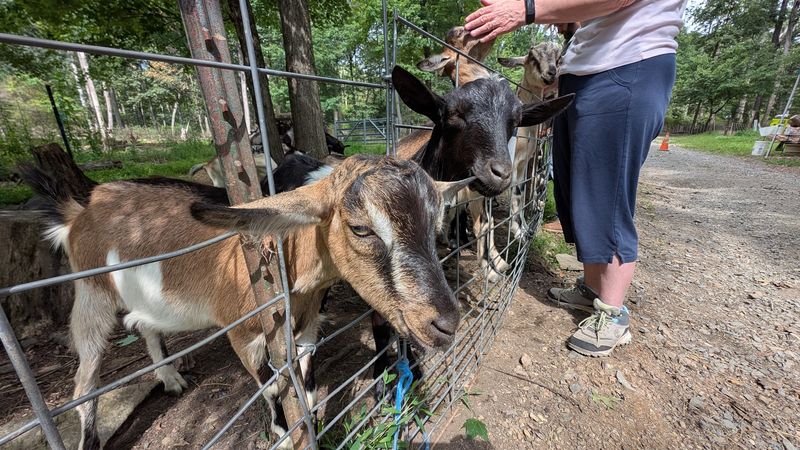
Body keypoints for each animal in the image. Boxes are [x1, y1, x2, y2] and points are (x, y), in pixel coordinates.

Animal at [22, 154, 471, 450]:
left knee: (146, 325)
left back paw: (171, 379)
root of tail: (78, 214)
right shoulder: (243, 332)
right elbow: (270, 385)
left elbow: (303, 371)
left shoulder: (308, 322)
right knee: (85, 375)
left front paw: (309, 410)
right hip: (92, 290)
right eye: (360, 228)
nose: (446, 324)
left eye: (437, 224)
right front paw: (283, 431)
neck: (286, 257)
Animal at [498, 41, 563, 241]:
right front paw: (518, 232)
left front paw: (525, 229)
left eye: (558, 58)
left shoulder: (523, 163)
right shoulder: (511, 162)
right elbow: (517, 193)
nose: (551, 73)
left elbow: (520, 194)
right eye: (533, 57)